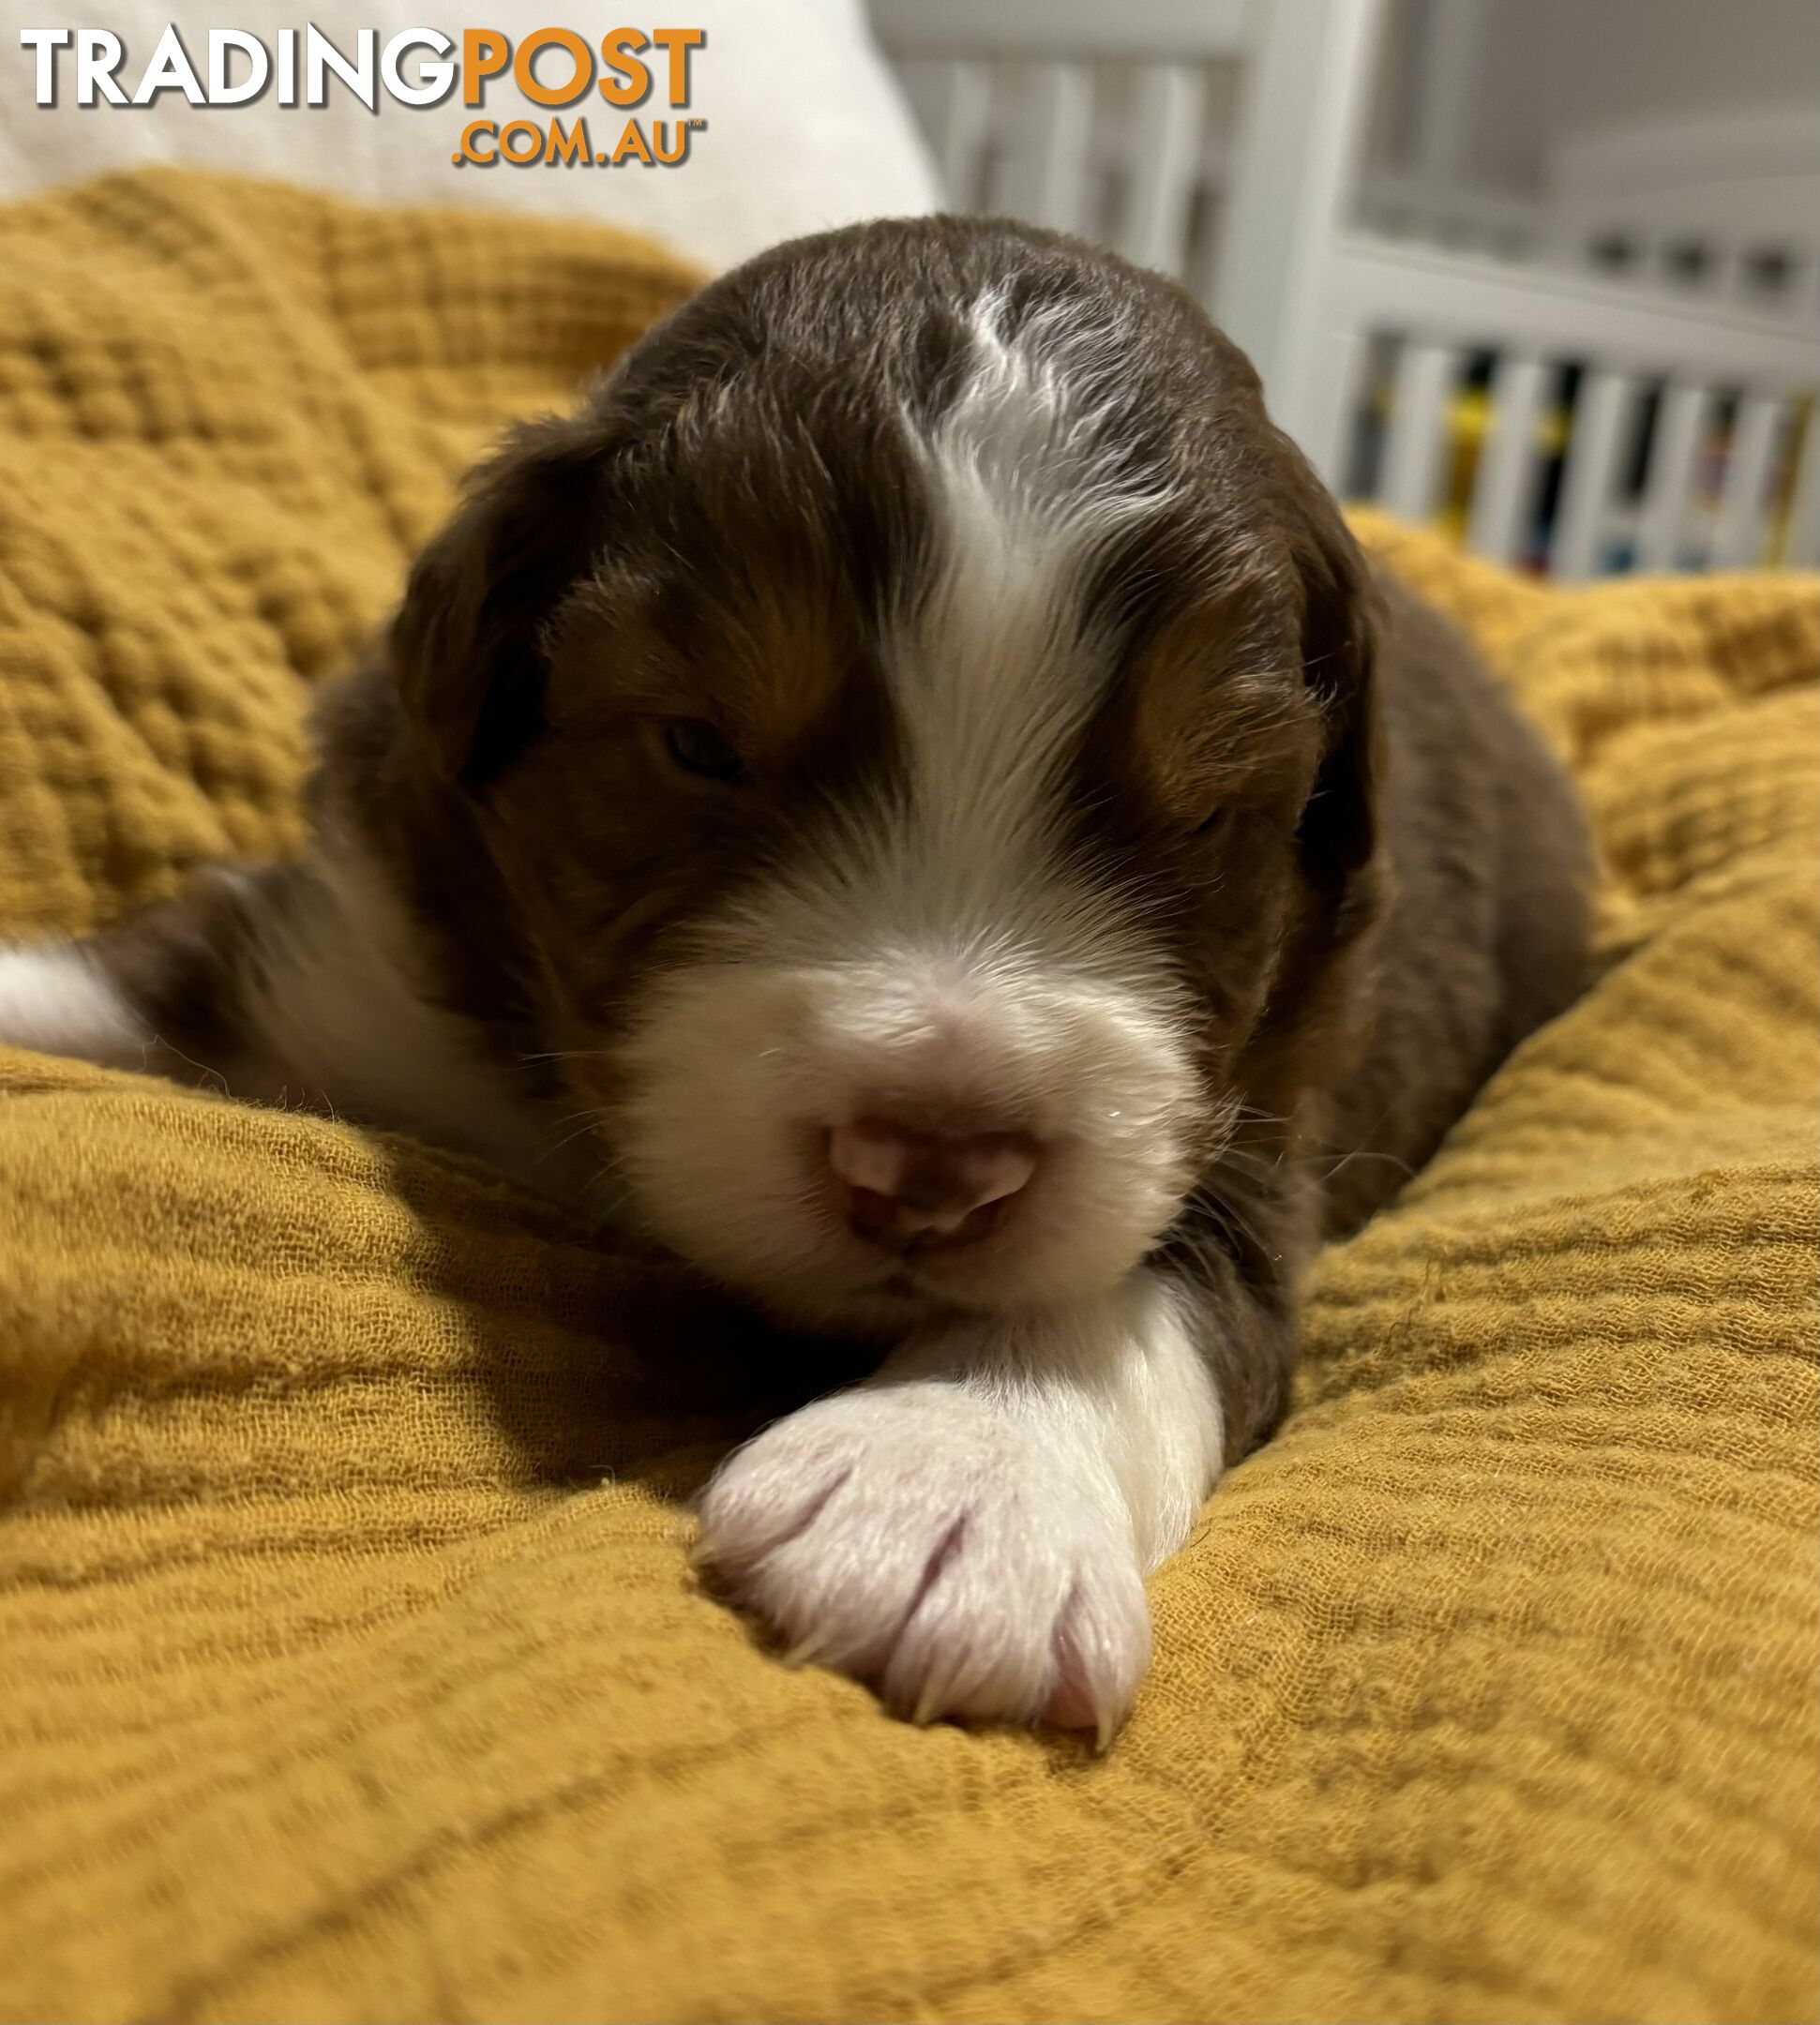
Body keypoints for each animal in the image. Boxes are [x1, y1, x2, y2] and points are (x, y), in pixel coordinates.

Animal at [0, 218, 1595, 1741]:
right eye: (701, 745)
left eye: (1202, 813)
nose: (935, 1167)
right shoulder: (349, 965)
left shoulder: (1259, 1126)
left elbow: (1144, 1289)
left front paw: (953, 1484)